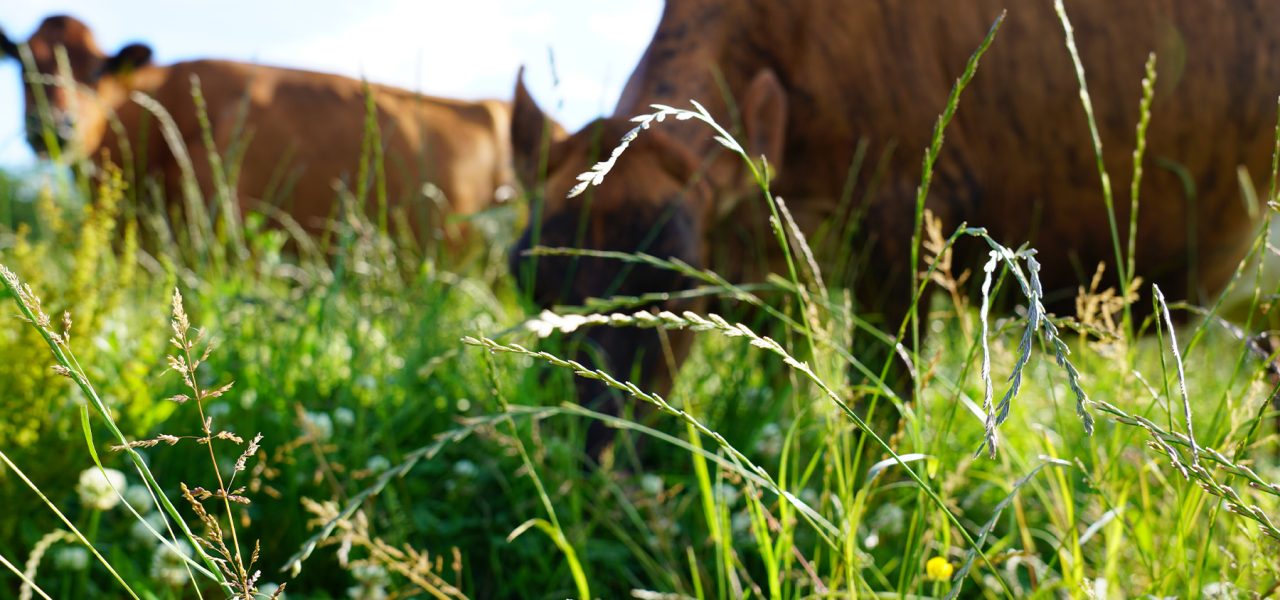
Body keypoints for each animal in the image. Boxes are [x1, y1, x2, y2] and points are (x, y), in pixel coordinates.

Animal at [506, 1, 1280, 457]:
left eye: (674, 291)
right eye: (527, 280)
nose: (586, 451)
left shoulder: (902, 234)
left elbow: (878, 408)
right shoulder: (780, 258)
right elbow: (780, 374)